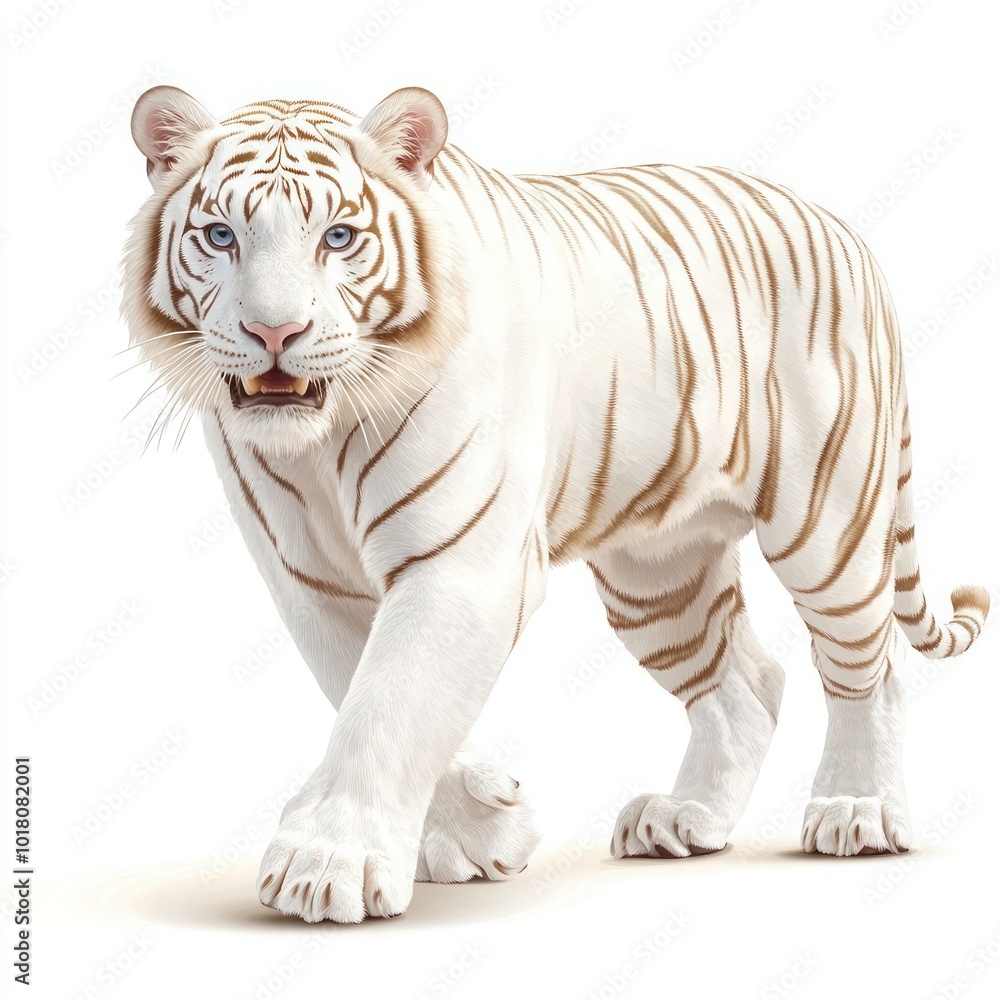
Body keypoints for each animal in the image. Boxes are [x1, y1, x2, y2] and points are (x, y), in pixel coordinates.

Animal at [123, 84, 990, 924]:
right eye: (221, 237)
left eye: (337, 238)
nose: (275, 333)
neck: (322, 442)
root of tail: (838, 224)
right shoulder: (310, 579)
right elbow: (364, 690)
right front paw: (482, 832)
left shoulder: (461, 564)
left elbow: (389, 703)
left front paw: (328, 865)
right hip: (657, 576)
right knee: (747, 685)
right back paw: (686, 819)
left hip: (827, 527)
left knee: (869, 669)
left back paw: (858, 810)